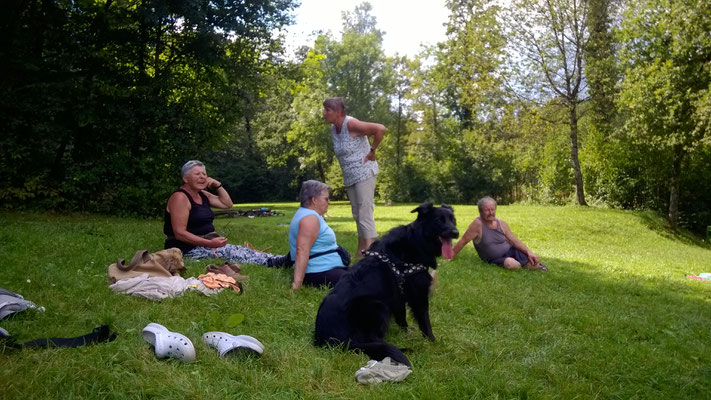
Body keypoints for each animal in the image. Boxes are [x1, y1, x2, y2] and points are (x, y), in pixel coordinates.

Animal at [312, 203, 458, 366]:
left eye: (453, 220)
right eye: (438, 220)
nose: (456, 233)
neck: (416, 240)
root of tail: (333, 340)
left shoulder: (399, 296)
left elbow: (402, 317)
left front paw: (406, 331)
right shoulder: (418, 295)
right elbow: (425, 321)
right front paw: (433, 342)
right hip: (377, 306)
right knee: (373, 341)